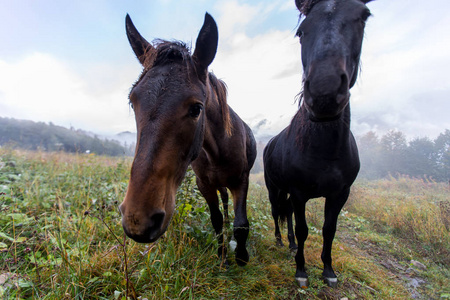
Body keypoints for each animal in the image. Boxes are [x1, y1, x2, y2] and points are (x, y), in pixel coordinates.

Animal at [119, 13, 256, 268]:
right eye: (133, 101)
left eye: (196, 108)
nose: (138, 220)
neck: (217, 151)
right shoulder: (205, 185)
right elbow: (216, 219)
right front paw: (222, 256)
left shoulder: (242, 180)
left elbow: (241, 224)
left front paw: (241, 257)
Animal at [264, 0, 372, 288]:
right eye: (301, 31)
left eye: (363, 17)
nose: (325, 92)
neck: (326, 151)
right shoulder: (299, 192)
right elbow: (303, 229)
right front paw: (301, 270)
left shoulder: (339, 194)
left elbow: (328, 229)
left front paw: (328, 270)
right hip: (274, 188)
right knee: (277, 212)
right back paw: (280, 241)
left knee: (287, 213)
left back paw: (290, 244)